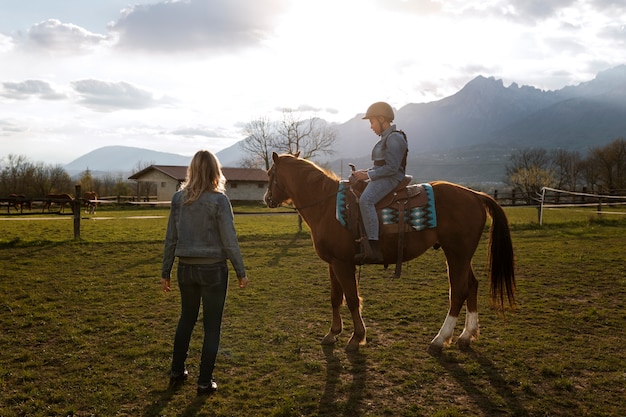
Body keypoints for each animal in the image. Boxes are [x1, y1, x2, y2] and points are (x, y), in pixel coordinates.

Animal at [264, 151, 512, 352]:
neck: (327, 206)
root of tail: (475, 194)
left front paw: (356, 338)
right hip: (462, 256)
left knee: (459, 292)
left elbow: (351, 299)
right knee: (472, 286)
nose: (267, 198)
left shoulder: (343, 263)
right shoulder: (332, 263)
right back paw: (466, 336)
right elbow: (335, 298)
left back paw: (440, 339)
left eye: (269, 173)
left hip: (456, 255)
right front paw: (332, 334)